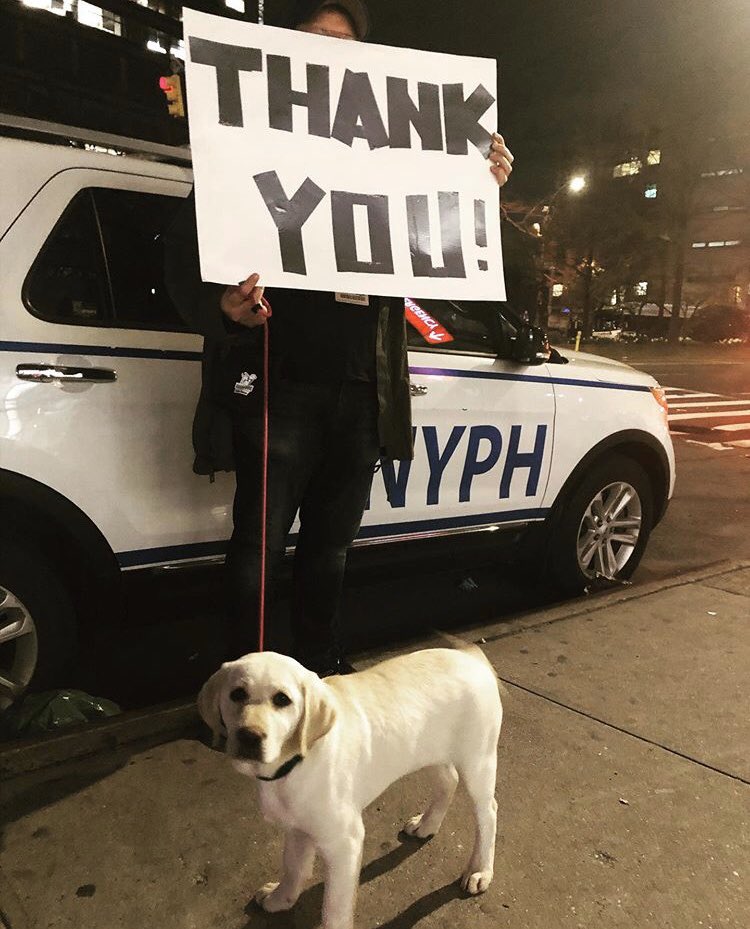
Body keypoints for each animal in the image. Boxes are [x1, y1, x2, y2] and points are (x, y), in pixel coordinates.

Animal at [200, 644, 506, 928]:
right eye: (237, 694)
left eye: (282, 700)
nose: (249, 736)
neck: (296, 762)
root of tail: (470, 657)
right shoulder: (297, 828)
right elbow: (293, 868)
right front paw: (280, 899)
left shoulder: (345, 842)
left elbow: (334, 908)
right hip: (426, 752)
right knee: (448, 781)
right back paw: (427, 825)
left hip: (478, 760)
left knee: (488, 812)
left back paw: (480, 871)